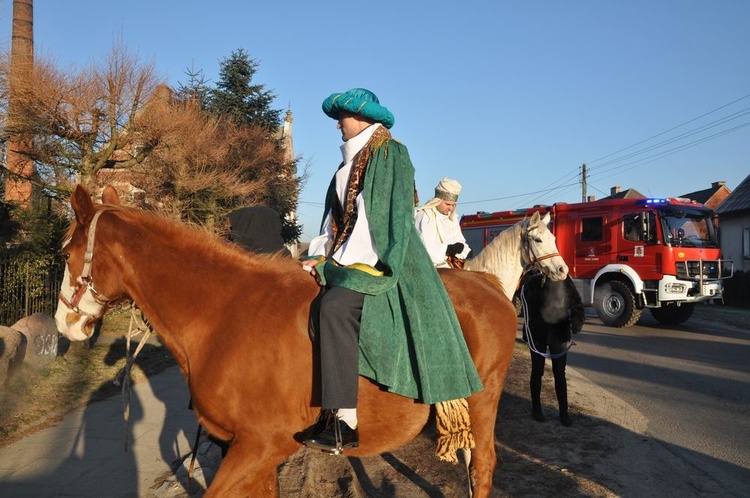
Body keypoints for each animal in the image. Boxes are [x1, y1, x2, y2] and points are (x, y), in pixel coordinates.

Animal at [55, 185, 520, 496]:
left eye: (65, 253)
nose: (64, 322)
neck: (224, 312)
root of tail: (488, 283)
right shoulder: (250, 453)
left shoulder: (259, 447)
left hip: (483, 400)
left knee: (483, 467)